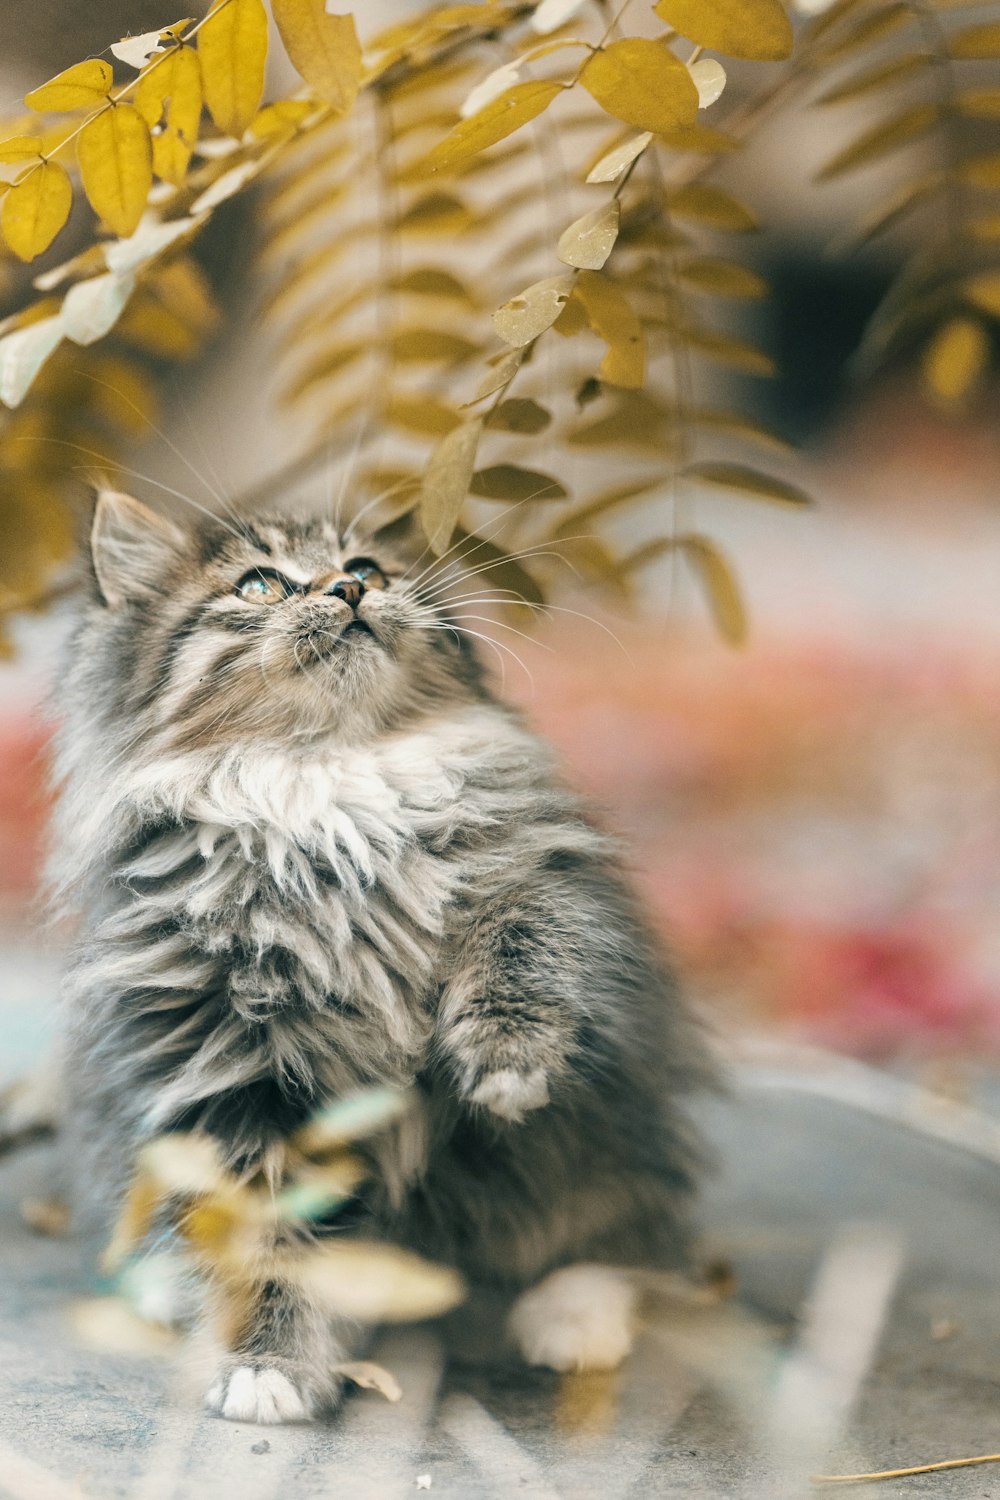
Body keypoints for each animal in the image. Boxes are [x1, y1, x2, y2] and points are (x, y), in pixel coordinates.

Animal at [50, 495, 716, 1428]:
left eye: (367, 567)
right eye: (260, 585)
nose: (348, 590)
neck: (328, 784)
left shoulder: (542, 875)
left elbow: (521, 943)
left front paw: (504, 1059)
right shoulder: (231, 1077)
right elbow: (268, 1247)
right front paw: (265, 1366)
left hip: (609, 1137)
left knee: (616, 1231)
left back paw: (574, 1317)